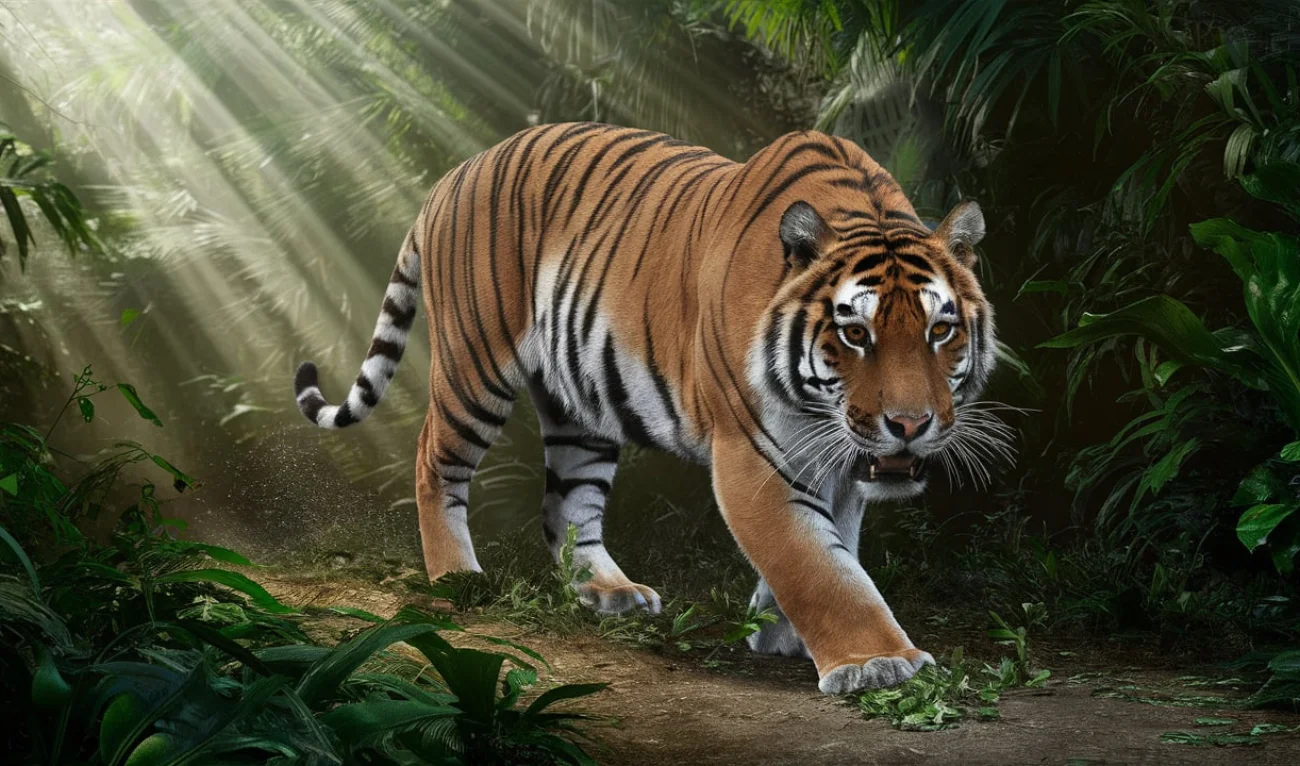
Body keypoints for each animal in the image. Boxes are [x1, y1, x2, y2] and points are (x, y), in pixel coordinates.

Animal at [292, 122, 999, 694]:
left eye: (940, 330)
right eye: (855, 333)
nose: (909, 425)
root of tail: (450, 176)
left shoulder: (841, 459)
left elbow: (836, 545)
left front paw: (780, 636)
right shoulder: (753, 458)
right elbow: (818, 565)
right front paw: (877, 662)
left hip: (580, 405)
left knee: (565, 504)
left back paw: (609, 593)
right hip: (475, 366)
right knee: (433, 460)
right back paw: (457, 580)